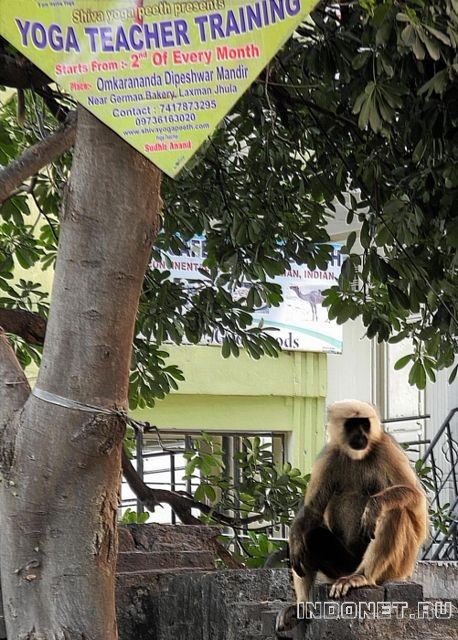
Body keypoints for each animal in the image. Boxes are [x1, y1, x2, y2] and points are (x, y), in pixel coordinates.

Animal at [276, 399, 429, 632]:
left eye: (364, 424)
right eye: (352, 425)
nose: (361, 435)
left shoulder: (386, 448)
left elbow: (416, 496)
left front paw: (375, 505)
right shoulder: (329, 455)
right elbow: (311, 512)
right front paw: (294, 541)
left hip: (396, 568)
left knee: (395, 511)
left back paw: (362, 576)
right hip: (339, 568)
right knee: (310, 536)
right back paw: (303, 604)